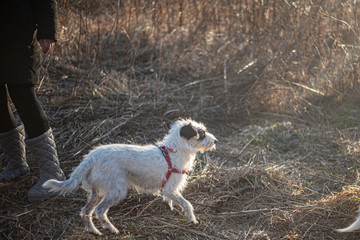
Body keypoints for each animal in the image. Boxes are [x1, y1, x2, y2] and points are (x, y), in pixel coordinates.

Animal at [42, 119, 217, 235]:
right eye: (201, 133)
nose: (215, 140)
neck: (174, 150)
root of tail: (91, 157)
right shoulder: (170, 189)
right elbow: (187, 204)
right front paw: (192, 219)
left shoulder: (170, 191)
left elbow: (173, 201)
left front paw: (174, 209)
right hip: (117, 191)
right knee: (99, 211)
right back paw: (111, 229)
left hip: (97, 192)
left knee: (86, 210)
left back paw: (94, 230)